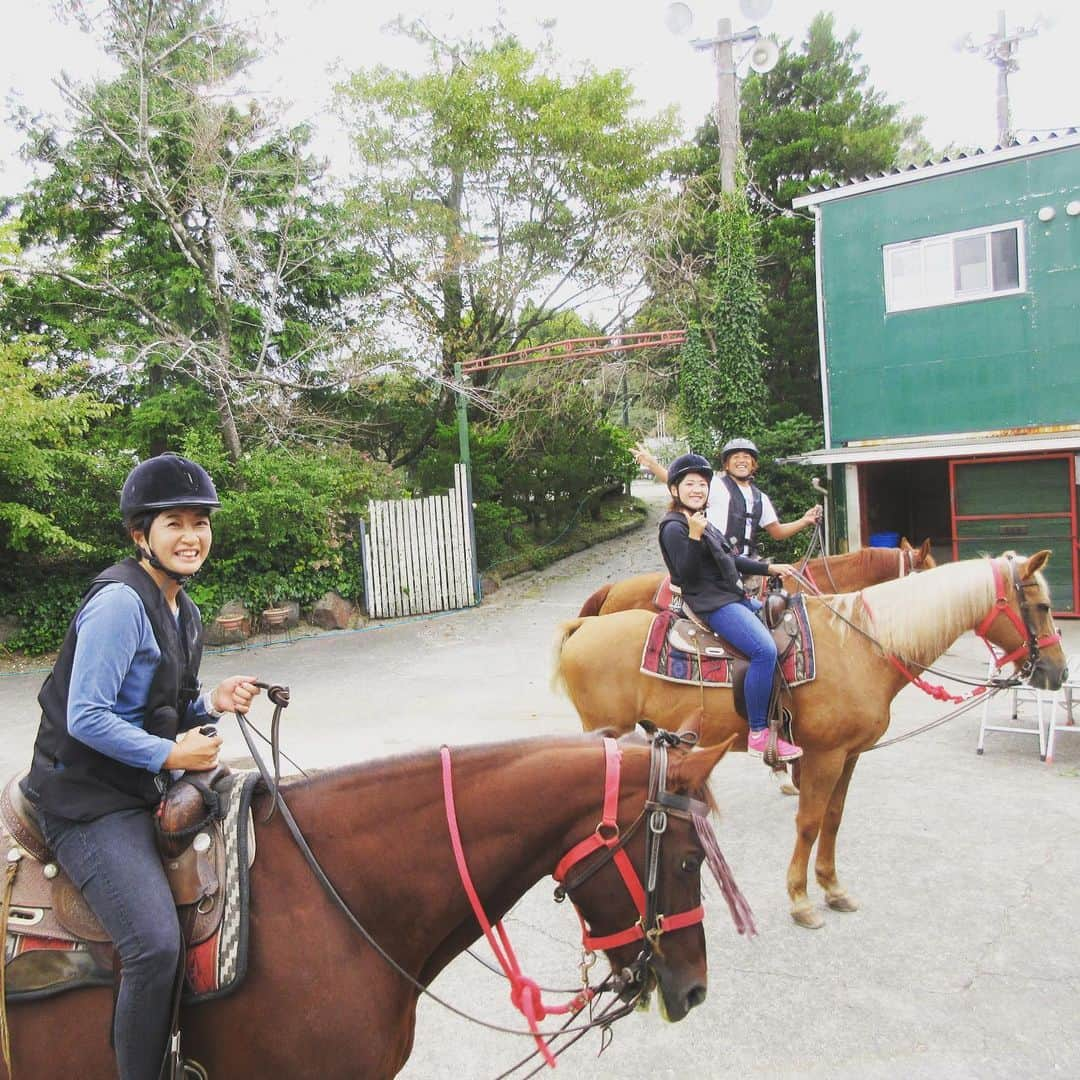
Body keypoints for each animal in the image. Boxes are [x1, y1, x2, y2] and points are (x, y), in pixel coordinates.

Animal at [552, 552, 1067, 933]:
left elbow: (833, 821)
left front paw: (833, 888)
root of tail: (585, 628)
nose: (1058, 672)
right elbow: (808, 822)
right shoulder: (824, 756)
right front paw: (800, 900)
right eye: (1042, 607)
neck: (862, 646)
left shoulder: (851, 755)